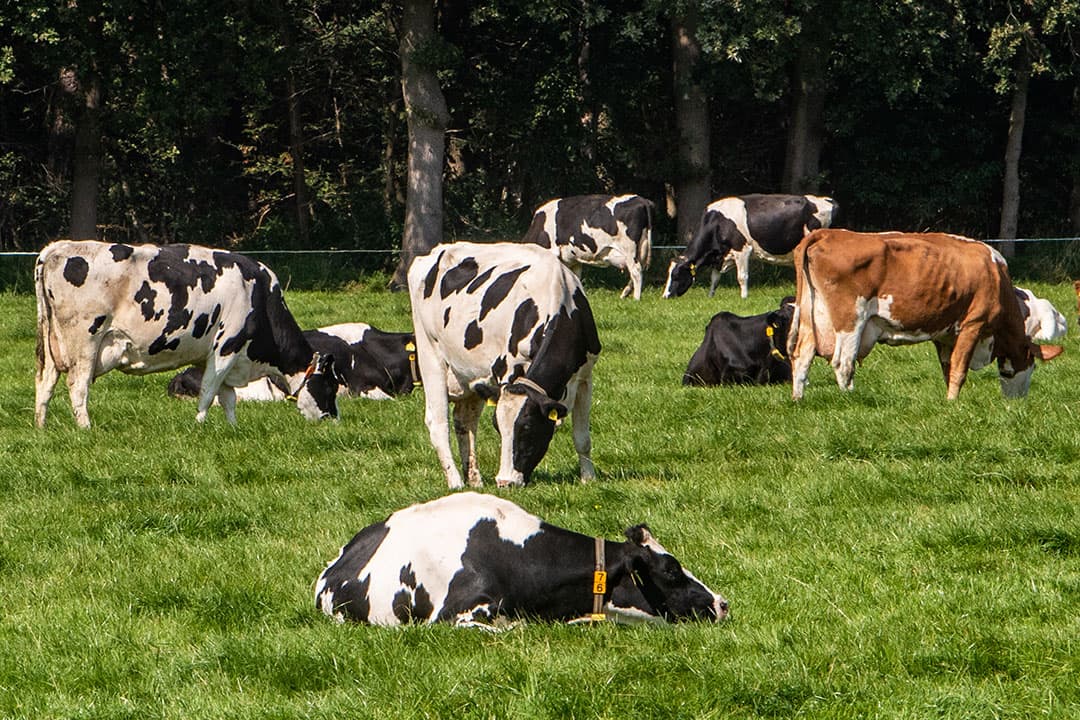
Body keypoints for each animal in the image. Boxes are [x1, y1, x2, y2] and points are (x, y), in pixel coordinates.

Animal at [34, 240, 341, 427]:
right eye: (330, 386)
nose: (334, 420)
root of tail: (60, 247)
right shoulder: (226, 347)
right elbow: (209, 391)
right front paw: (200, 425)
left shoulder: (217, 357)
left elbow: (227, 397)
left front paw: (232, 427)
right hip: (85, 342)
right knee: (78, 386)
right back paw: (85, 428)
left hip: (50, 345)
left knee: (45, 383)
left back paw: (41, 427)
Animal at [408, 241, 601, 489]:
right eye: (498, 428)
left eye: (527, 428)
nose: (505, 482)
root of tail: (438, 250)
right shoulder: (506, 372)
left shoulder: (585, 376)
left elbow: (582, 437)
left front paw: (588, 478)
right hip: (429, 354)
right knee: (438, 423)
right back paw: (456, 483)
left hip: (471, 375)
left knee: (465, 422)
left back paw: (475, 481)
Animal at [520, 194, 654, 300]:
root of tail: (641, 199)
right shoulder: (574, 259)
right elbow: (575, 277)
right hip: (641, 249)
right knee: (638, 270)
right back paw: (625, 293)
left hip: (629, 250)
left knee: (636, 271)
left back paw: (636, 299)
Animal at [664, 193, 838, 299]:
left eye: (676, 275)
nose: (665, 296)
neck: (717, 222)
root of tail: (828, 200)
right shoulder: (720, 256)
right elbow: (714, 279)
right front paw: (710, 297)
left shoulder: (742, 249)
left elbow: (742, 277)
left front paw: (743, 298)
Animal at [788, 229, 1063, 401]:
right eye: (1030, 367)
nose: (1016, 404)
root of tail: (829, 232)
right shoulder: (974, 323)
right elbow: (959, 370)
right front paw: (953, 403)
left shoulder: (944, 336)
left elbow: (948, 369)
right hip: (851, 319)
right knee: (843, 363)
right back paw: (850, 399)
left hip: (812, 316)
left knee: (802, 356)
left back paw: (798, 399)